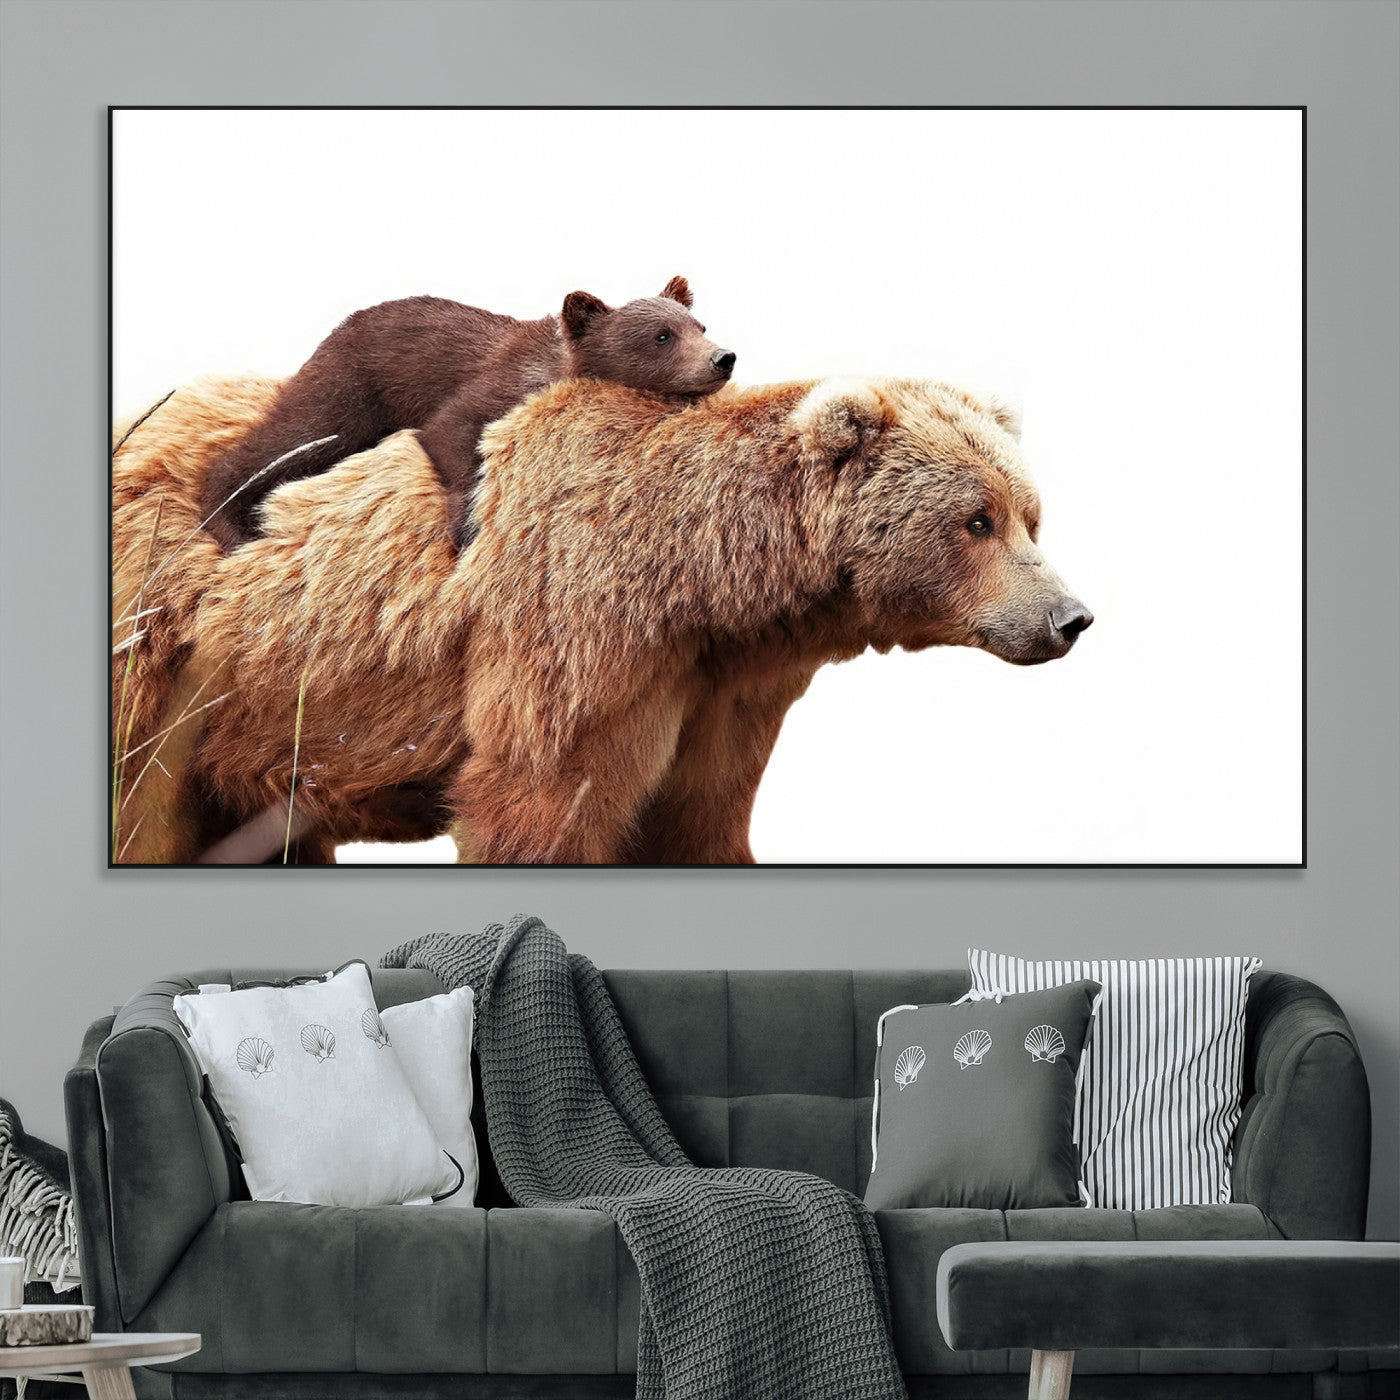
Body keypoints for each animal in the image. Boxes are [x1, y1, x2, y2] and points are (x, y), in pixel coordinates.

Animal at [111, 372, 1090, 865]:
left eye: (1030, 514)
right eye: (977, 520)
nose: (1070, 616)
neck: (704, 585)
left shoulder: (718, 694)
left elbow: (698, 818)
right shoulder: (578, 641)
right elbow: (541, 804)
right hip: (165, 658)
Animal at [197, 277, 734, 552]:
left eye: (700, 325)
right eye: (662, 335)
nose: (723, 358)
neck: (555, 369)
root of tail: (338, 328)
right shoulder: (490, 387)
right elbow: (451, 433)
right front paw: (466, 528)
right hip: (351, 388)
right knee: (292, 436)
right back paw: (231, 524)